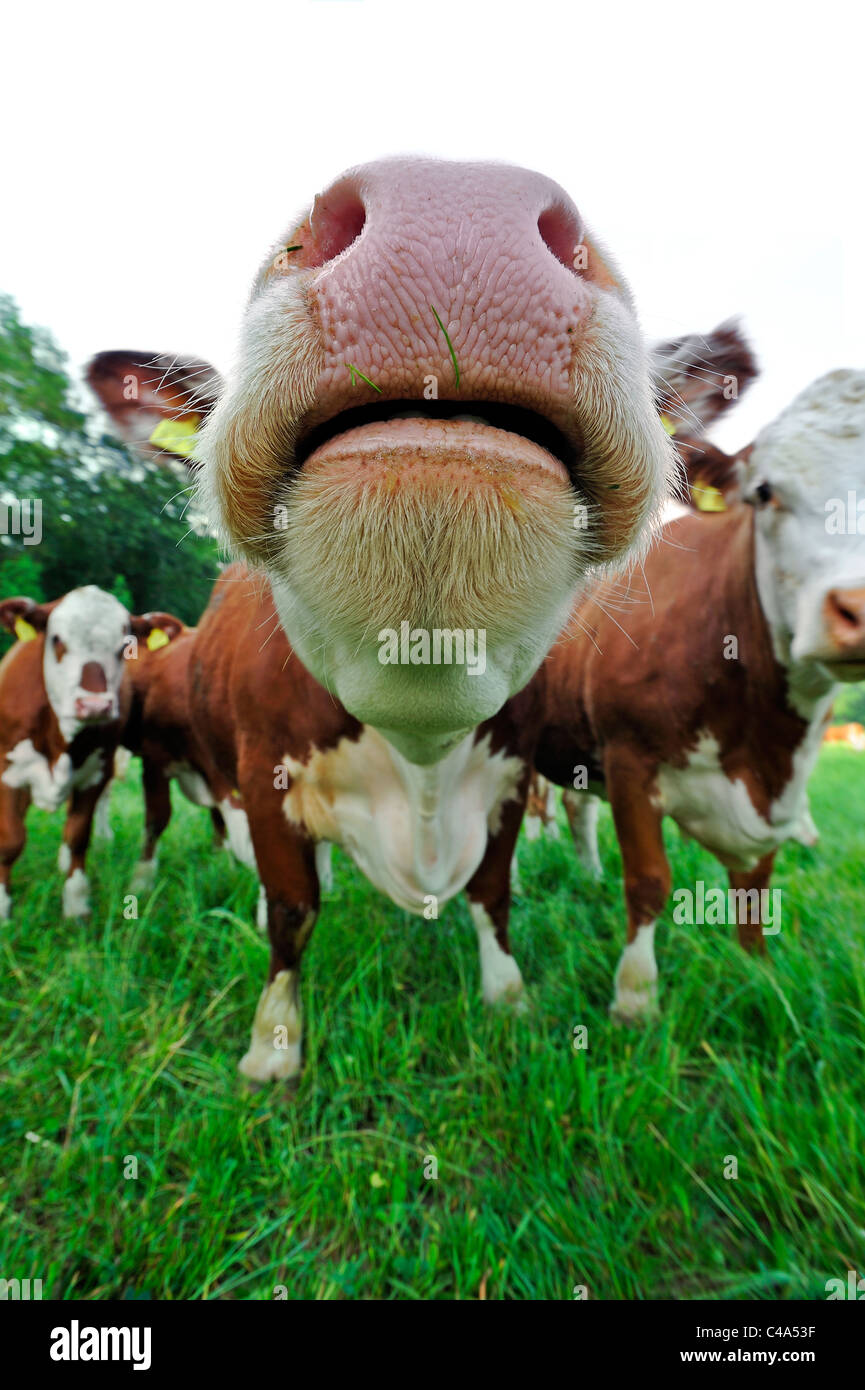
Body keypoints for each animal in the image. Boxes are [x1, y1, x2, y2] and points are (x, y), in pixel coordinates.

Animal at [0, 589, 180, 922]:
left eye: (124, 647)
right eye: (56, 639)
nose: (95, 705)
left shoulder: (96, 773)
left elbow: (78, 835)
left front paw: (76, 904)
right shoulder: (8, 771)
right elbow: (11, 839)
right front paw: (3, 907)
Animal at [86, 157, 750, 1078]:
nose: (455, 209)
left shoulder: (511, 776)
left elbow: (493, 892)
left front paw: (507, 998)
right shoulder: (260, 773)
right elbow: (292, 906)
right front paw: (272, 1049)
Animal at [528, 369, 865, 1023]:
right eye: (764, 493)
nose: (857, 607)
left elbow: (755, 892)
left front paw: (759, 975)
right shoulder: (629, 758)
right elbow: (649, 880)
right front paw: (634, 1000)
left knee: (578, 807)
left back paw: (587, 873)